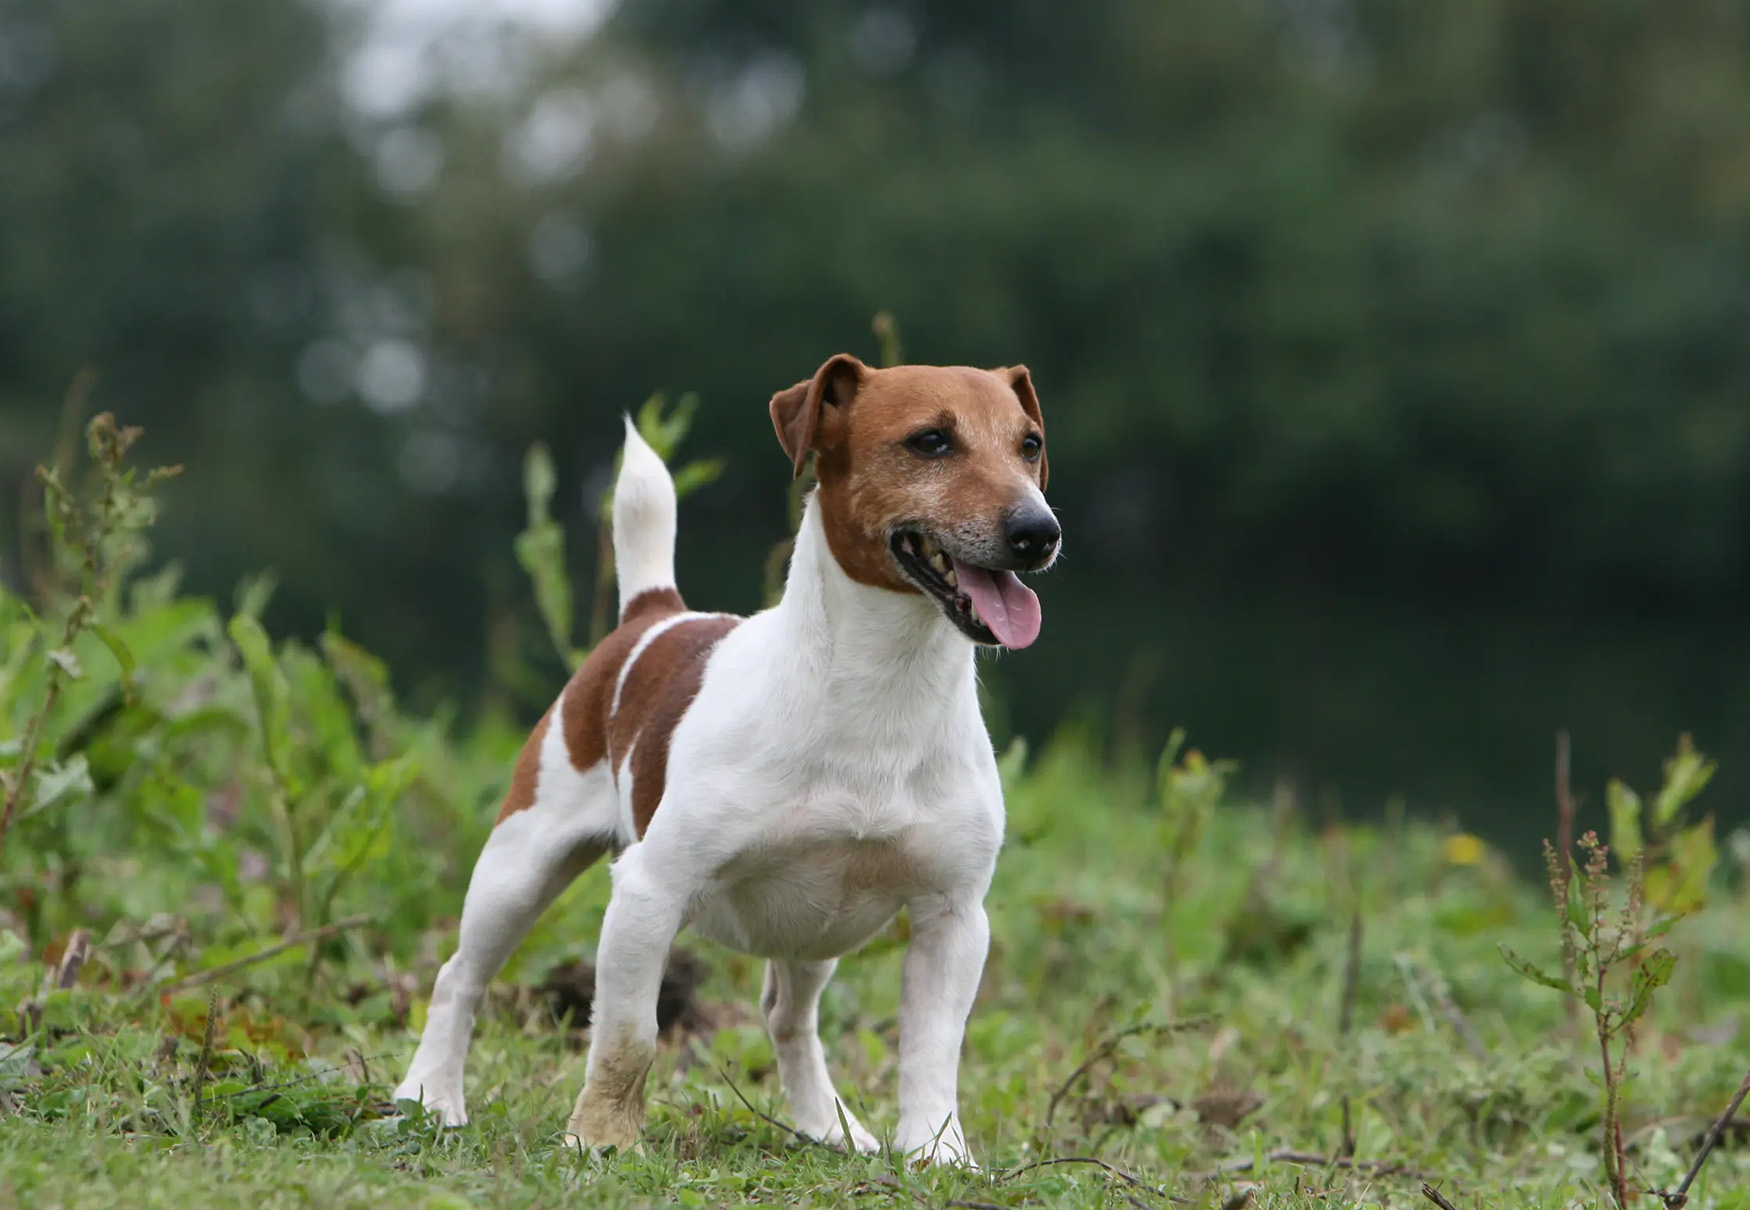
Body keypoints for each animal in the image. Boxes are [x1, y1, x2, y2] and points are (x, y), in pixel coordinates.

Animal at [392, 355, 1057, 1169]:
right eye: (930, 441)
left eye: (1029, 445)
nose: (1039, 532)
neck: (883, 695)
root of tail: (654, 614)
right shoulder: (648, 893)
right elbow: (628, 1038)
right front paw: (599, 1141)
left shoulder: (954, 917)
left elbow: (933, 1052)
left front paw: (939, 1156)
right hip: (518, 868)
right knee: (459, 976)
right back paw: (429, 1097)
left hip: (813, 932)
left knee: (787, 1019)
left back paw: (829, 1126)